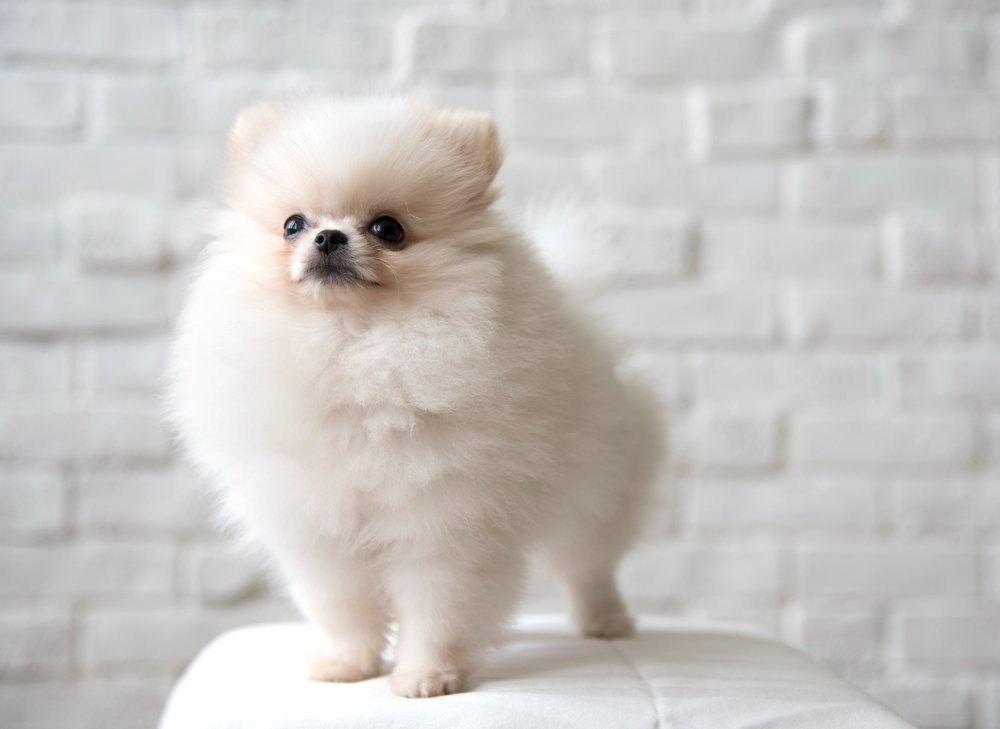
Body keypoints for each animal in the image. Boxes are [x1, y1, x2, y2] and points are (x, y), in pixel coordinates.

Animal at [167, 95, 660, 692]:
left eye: (388, 228)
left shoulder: (446, 522)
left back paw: (605, 621)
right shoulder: (321, 530)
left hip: (597, 490)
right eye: (292, 225)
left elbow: (438, 608)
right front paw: (347, 665)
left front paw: (427, 676)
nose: (328, 237)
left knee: (588, 564)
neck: (354, 346)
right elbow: (344, 608)